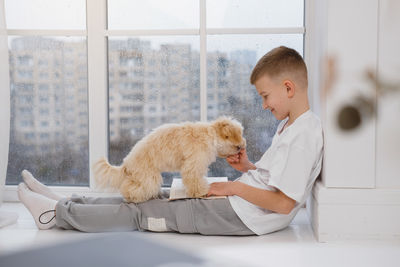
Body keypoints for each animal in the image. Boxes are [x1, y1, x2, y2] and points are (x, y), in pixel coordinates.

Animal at [93, 117, 245, 203]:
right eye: (234, 136)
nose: (242, 146)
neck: (209, 135)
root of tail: (126, 163)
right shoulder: (193, 164)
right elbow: (194, 180)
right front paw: (201, 192)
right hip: (149, 177)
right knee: (130, 188)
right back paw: (133, 198)